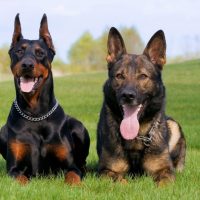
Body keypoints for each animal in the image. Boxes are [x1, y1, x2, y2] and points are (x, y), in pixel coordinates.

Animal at [0, 14, 90, 185]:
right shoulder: (13, 169)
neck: (36, 114)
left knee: (83, 164)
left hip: (79, 127)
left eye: (40, 53)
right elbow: (21, 179)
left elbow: (73, 176)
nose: (27, 65)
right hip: (1, 132)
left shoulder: (70, 165)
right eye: (19, 51)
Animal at [97, 27, 186, 186]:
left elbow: (164, 182)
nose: (128, 95)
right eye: (119, 76)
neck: (136, 136)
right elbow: (120, 180)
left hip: (173, 125)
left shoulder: (164, 169)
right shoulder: (105, 171)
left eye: (143, 76)